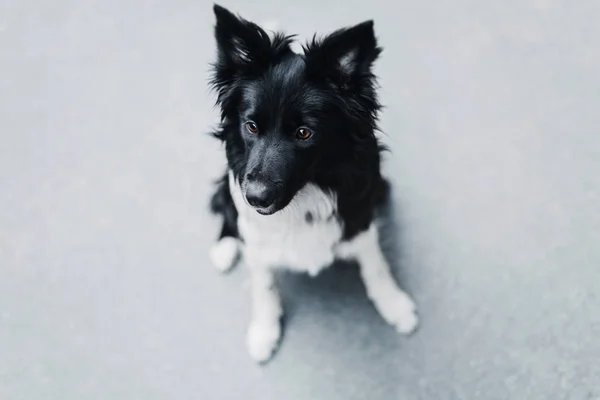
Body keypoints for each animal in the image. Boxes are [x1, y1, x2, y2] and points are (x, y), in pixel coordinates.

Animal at [206, 4, 418, 364]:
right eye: (251, 126)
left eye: (304, 133)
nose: (255, 198)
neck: (305, 197)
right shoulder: (254, 230)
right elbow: (263, 283)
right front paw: (264, 332)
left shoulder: (359, 218)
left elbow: (375, 265)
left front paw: (394, 305)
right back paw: (224, 248)